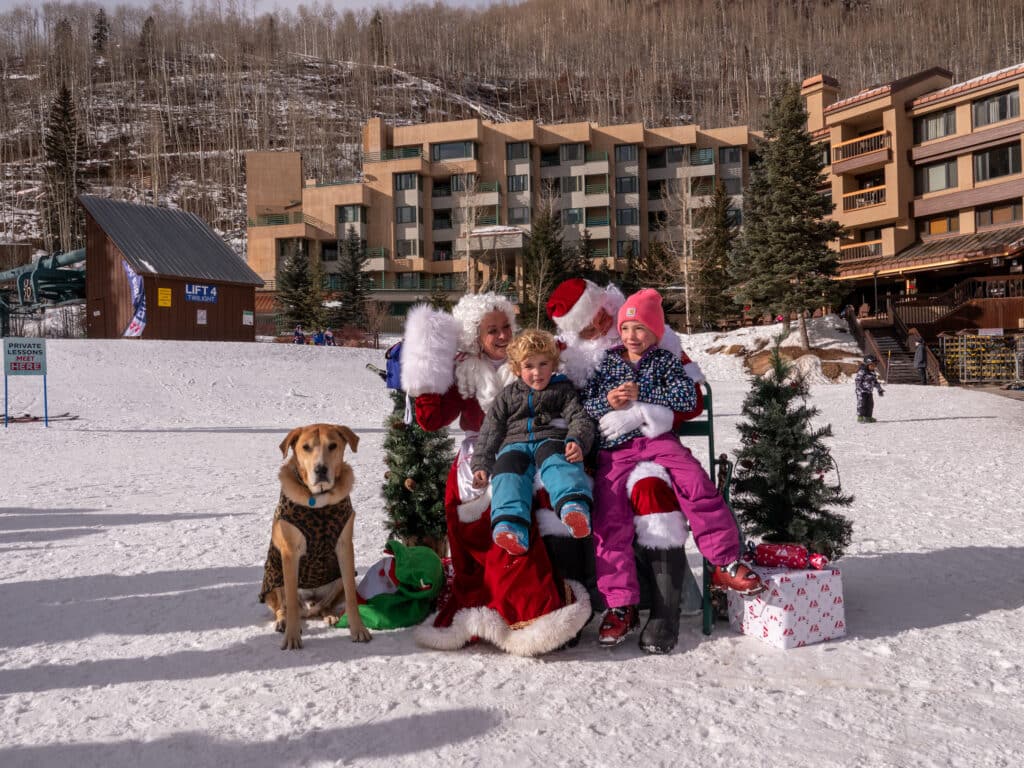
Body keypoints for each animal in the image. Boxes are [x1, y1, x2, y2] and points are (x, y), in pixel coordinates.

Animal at [260, 428, 372, 651]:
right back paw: (283, 621)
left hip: (336, 579)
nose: (321, 469)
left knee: (325, 605)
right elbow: (290, 602)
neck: (318, 500)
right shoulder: (290, 553)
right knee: (283, 607)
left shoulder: (344, 547)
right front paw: (292, 636)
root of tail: (309, 606)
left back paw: (329, 615)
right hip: (274, 577)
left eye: (333, 445)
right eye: (306, 447)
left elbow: (351, 598)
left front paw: (358, 630)